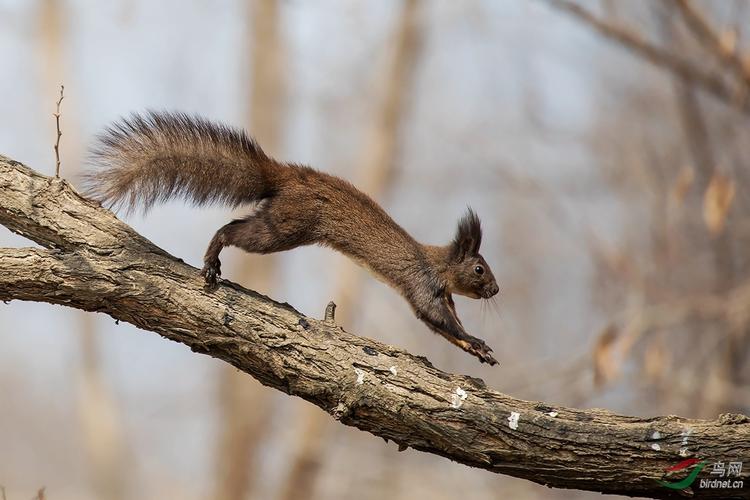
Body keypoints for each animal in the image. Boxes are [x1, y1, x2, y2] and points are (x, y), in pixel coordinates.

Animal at [83, 111, 500, 366]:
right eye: (480, 269)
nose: (496, 290)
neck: (441, 266)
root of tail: (285, 177)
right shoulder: (422, 284)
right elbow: (433, 317)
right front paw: (477, 341)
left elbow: (445, 328)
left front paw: (475, 347)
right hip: (285, 227)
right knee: (232, 230)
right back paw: (212, 258)